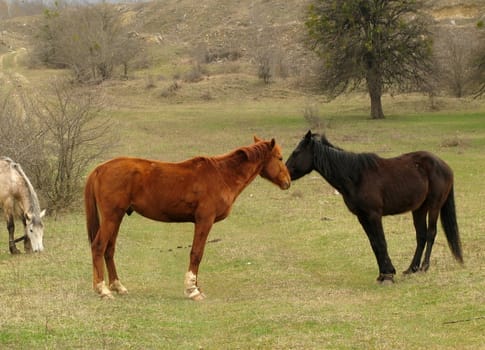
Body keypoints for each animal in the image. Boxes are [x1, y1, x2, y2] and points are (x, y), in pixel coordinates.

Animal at [84, 135, 290, 300]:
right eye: (280, 158)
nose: (287, 182)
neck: (221, 175)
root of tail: (100, 169)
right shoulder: (204, 220)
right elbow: (197, 253)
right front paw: (193, 290)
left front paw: (197, 287)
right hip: (111, 217)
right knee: (99, 247)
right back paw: (103, 289)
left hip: (117, 218)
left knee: (109, 250)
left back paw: (117, 286)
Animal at [286, 130, 464, 284]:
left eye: (296, 152)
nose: (285, 175)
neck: (355, 176)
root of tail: (445, 166)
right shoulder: (362, 217)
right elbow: (374, 244)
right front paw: (382, 274)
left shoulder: (374, 215)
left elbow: (381, 242)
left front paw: (388, 275)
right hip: (418, 209)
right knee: (421, 236)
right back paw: (411, 269)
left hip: (434, 206)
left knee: (431, 233)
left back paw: (424, 268)